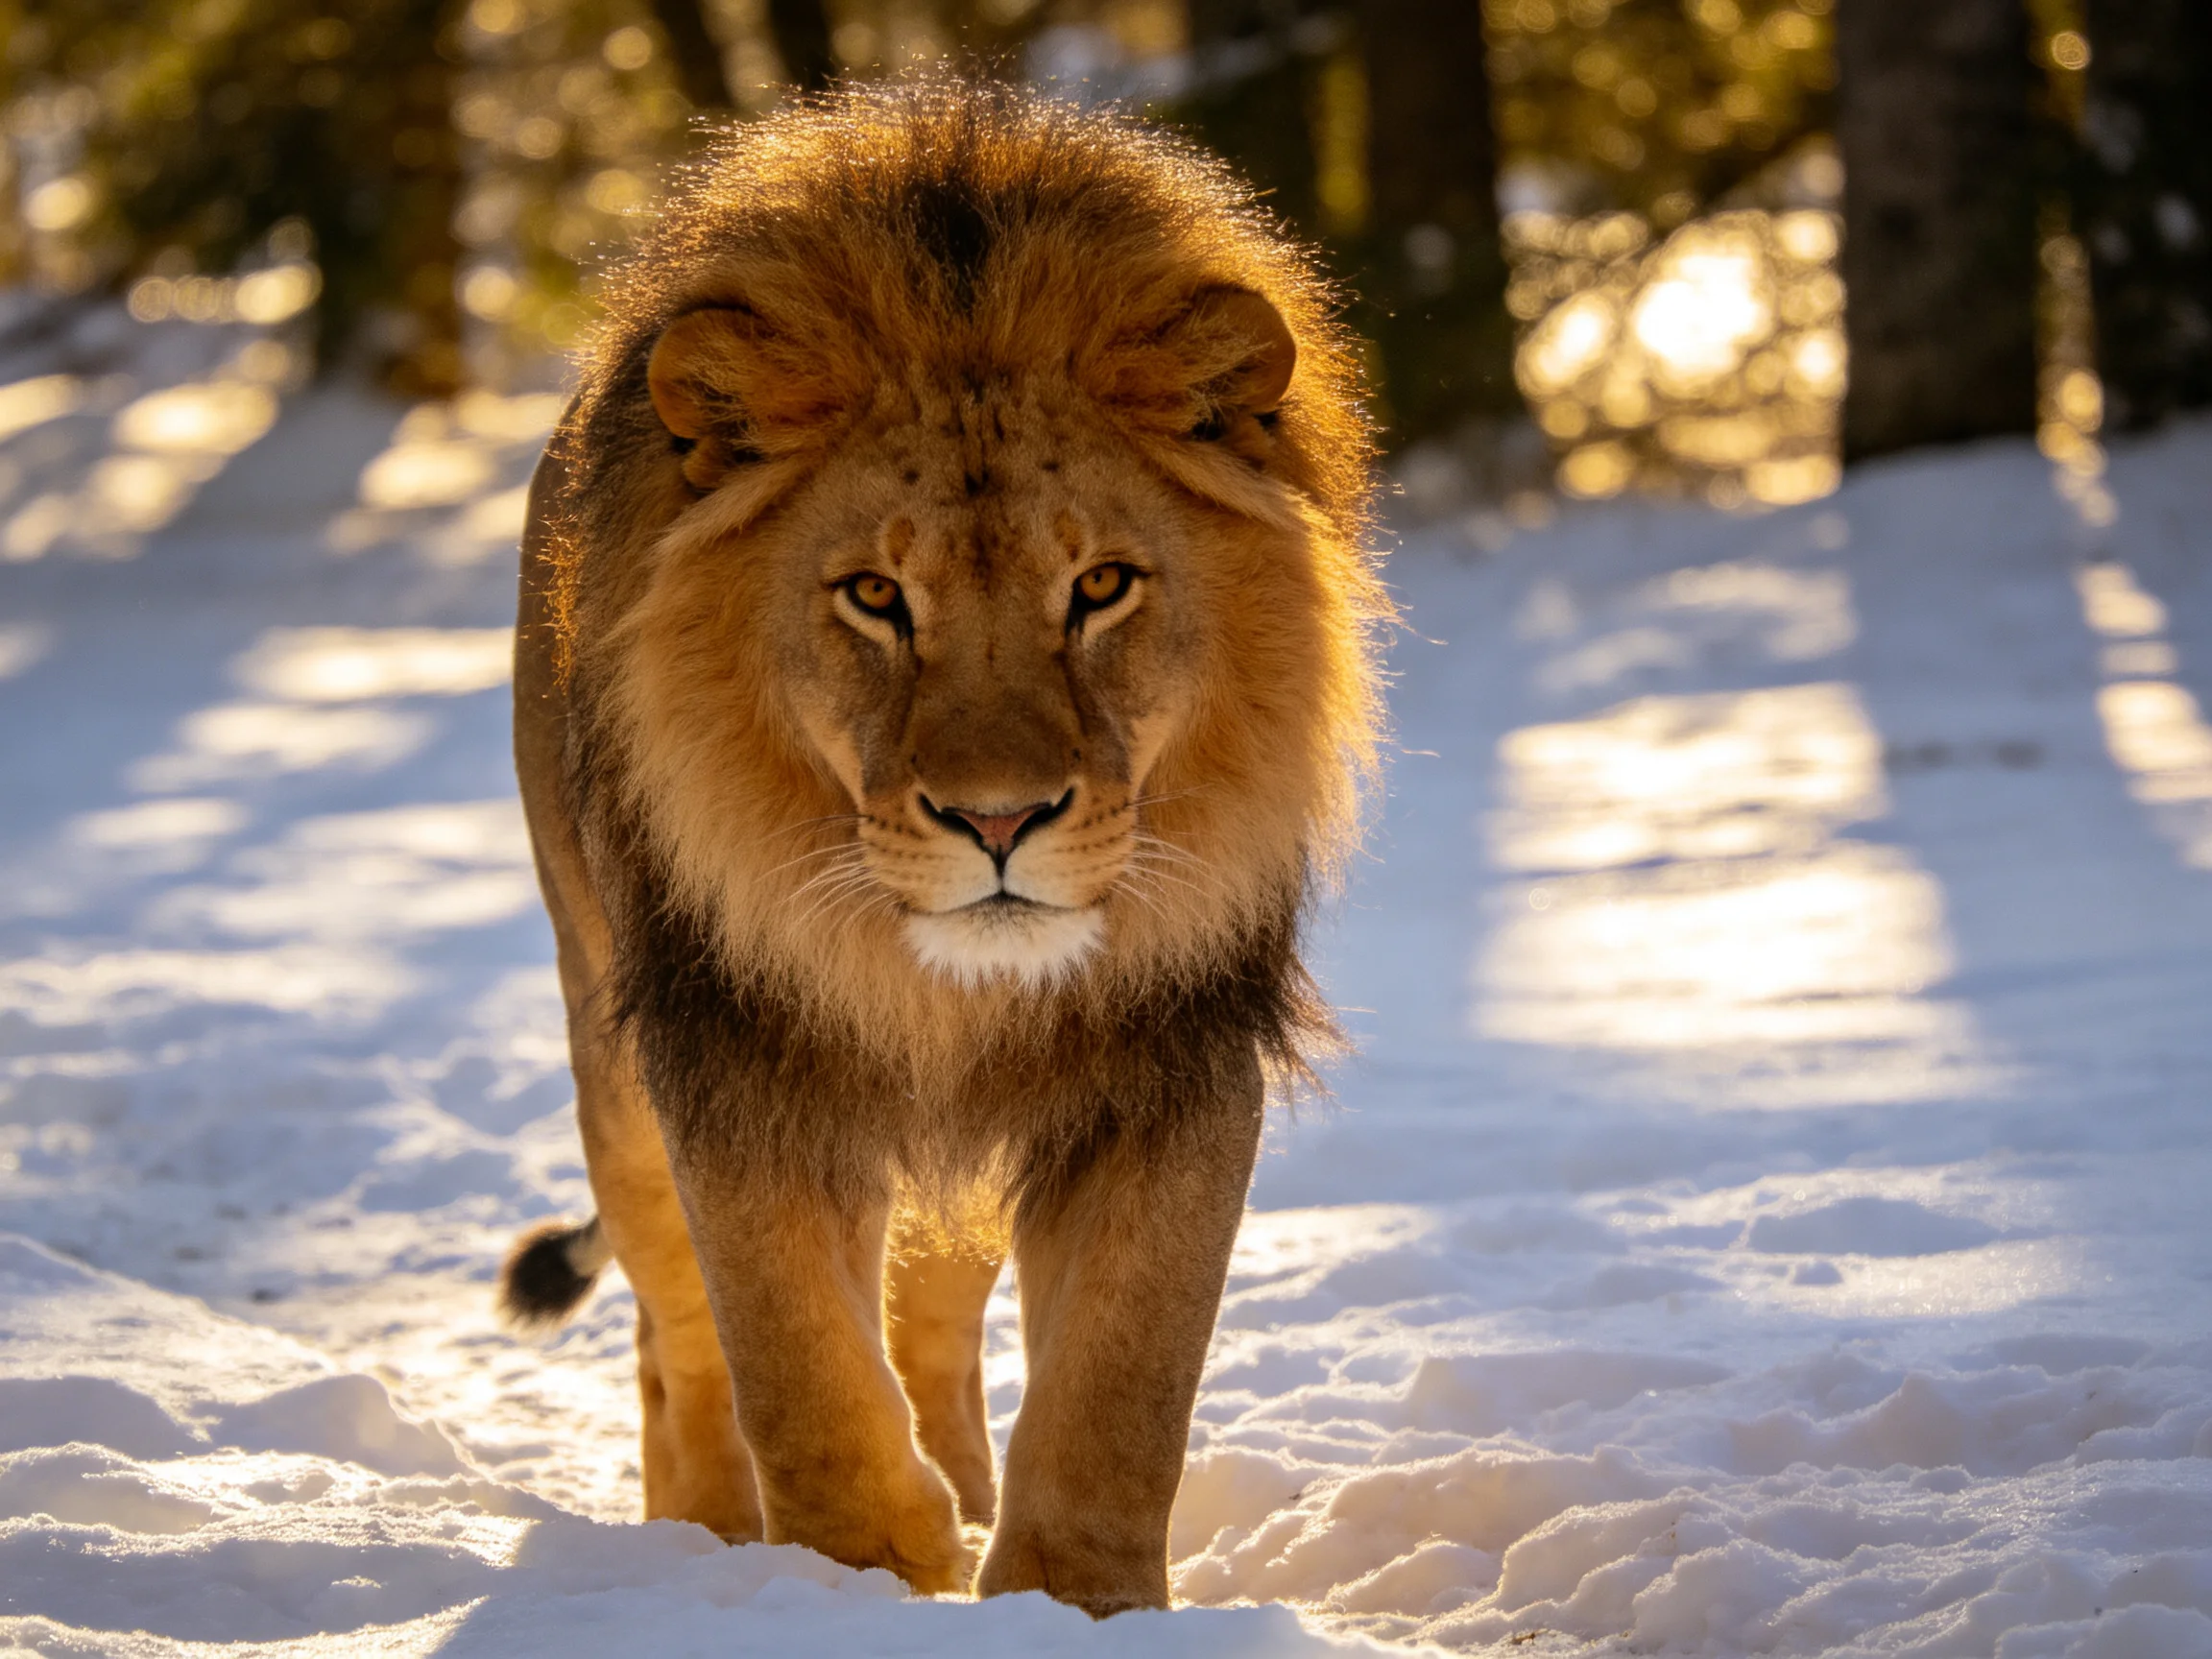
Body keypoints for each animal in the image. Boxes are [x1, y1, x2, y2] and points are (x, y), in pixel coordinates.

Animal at [499, 78, 1385, 1616]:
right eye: (873, 596)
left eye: (1101, 586)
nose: (999, 820)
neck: (934, 985)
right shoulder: (733, 1052)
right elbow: (792, 1363)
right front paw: (859, 1573)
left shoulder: (1171, 1056)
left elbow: (1125, 1382)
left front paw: (1070, 1602)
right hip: (608, 1049)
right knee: (677, 1332)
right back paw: (704, 1538)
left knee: (934, 1315)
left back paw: (966, 1496)